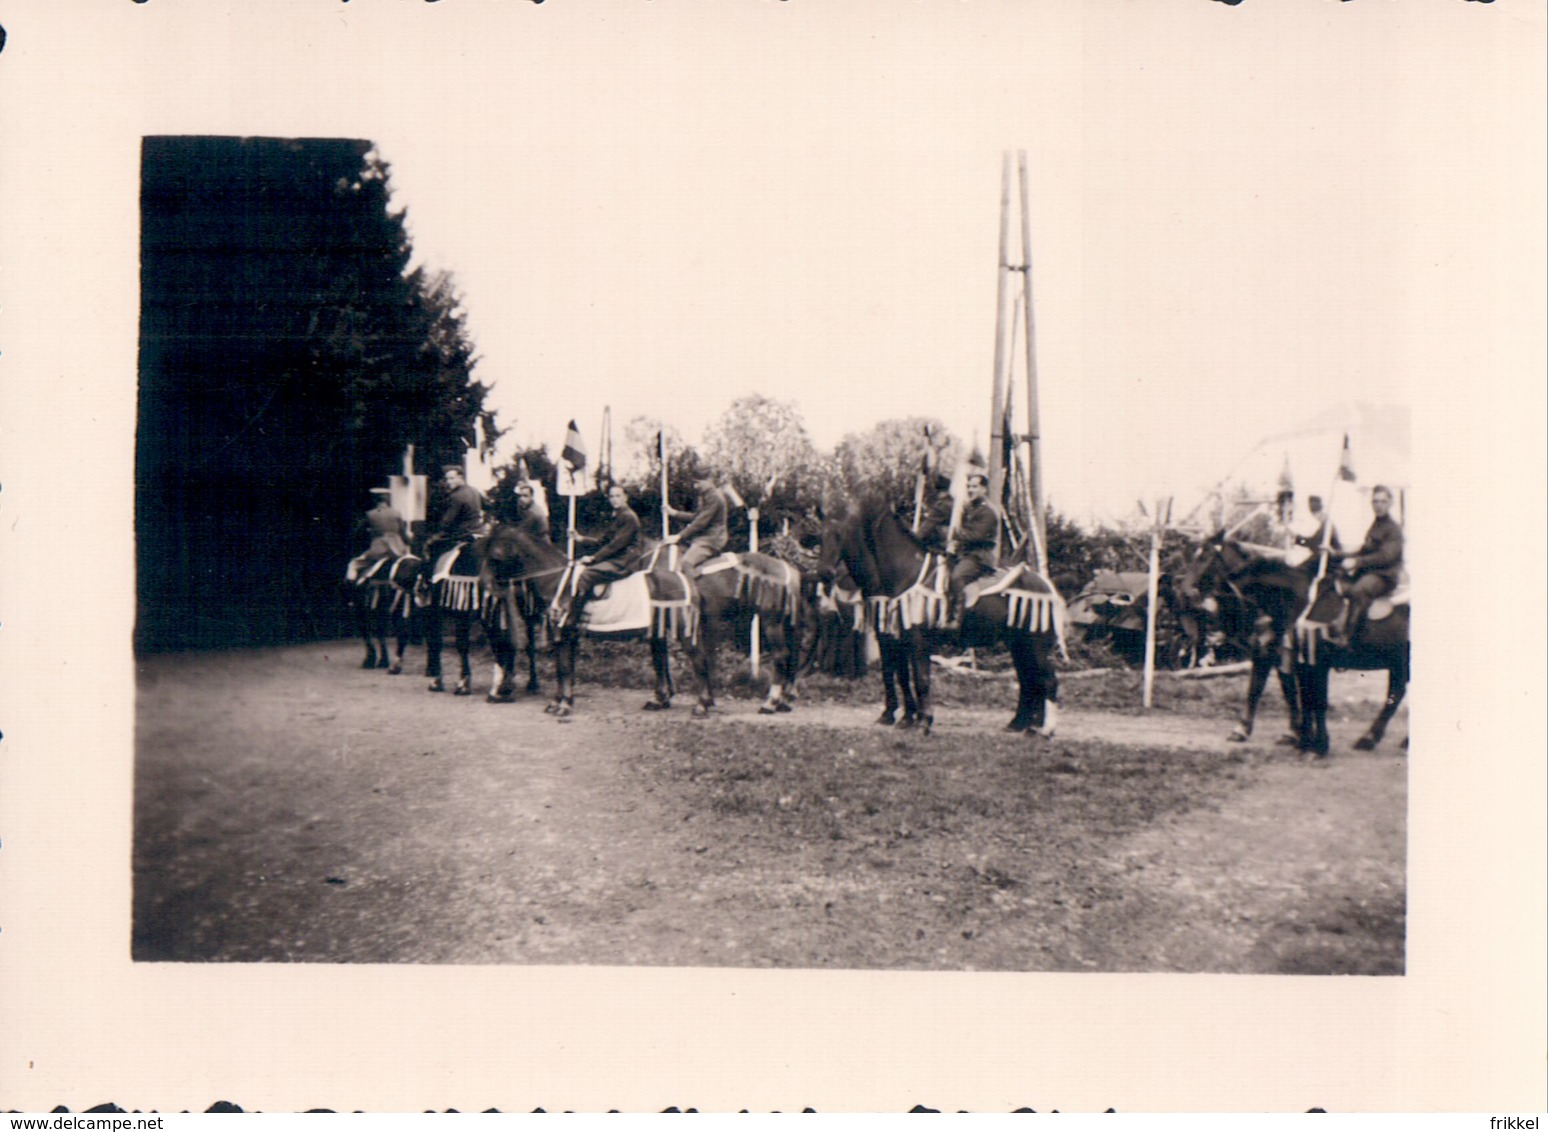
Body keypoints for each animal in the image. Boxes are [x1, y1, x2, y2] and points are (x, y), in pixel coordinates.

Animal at [811, 492, 1065, 740]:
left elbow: (920, 679)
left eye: (840, 534)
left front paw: (923, 722)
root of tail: (1046, 587)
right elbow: (898, 676)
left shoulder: (916, 640)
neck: (905, 573)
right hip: (1019, 643)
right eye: (819, 536)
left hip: (1035, 642)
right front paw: (902, 718)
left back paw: (1045, 730)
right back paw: (1022, 724)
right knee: (1029, 680)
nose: (824, 573)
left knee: (1047, 680)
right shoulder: (893, 637)